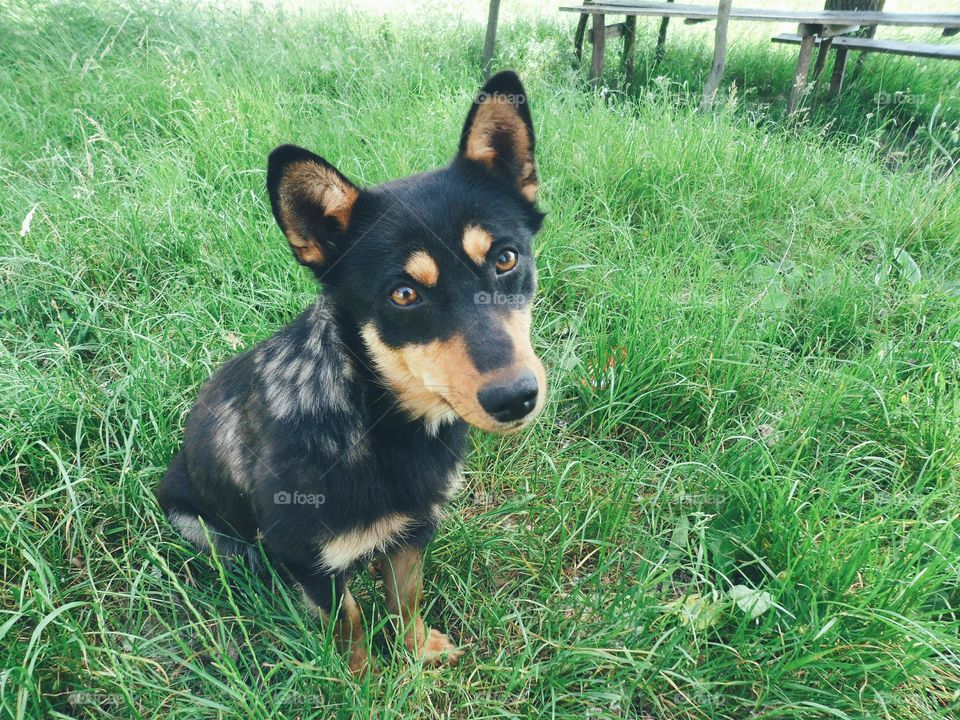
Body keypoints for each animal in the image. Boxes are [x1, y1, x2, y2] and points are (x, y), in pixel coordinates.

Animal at [158, 70, 548, 672]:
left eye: (506, 259)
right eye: (403, 294)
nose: (515, 398)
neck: (376, 421)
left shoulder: (413, 530)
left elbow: (406, 598)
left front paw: (416, 652)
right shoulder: (311, 560)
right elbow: (352, 624)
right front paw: (361, 679)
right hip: (202, 526)